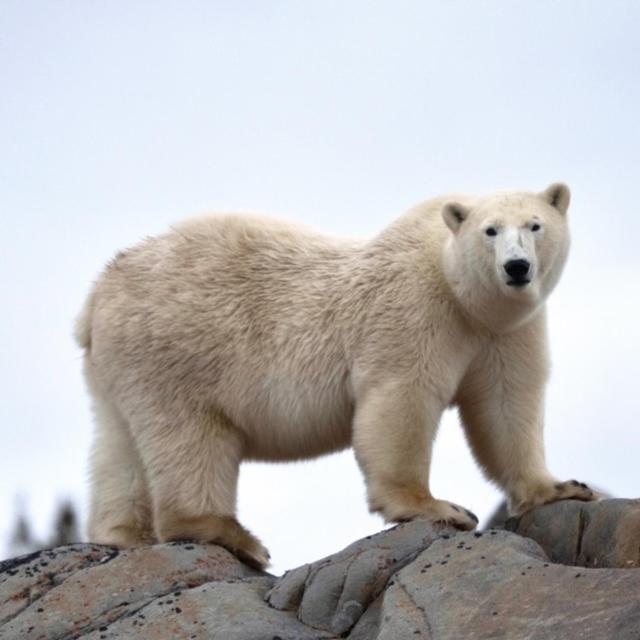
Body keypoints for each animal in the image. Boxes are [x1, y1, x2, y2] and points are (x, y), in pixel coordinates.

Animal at [77, 182, 596, 568]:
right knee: (191, 437)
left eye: (535, 225)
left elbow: (507, 404)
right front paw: (440, 507)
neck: (461, 293)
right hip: (179, 349)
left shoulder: (507, 331)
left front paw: (561, 487)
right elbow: (400, 401)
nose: (517, 267)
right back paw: (235, 536)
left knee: (117, 447)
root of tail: (97, 296)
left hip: (117, 370)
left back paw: (124, 533)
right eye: (490, 231)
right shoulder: (413, 309)